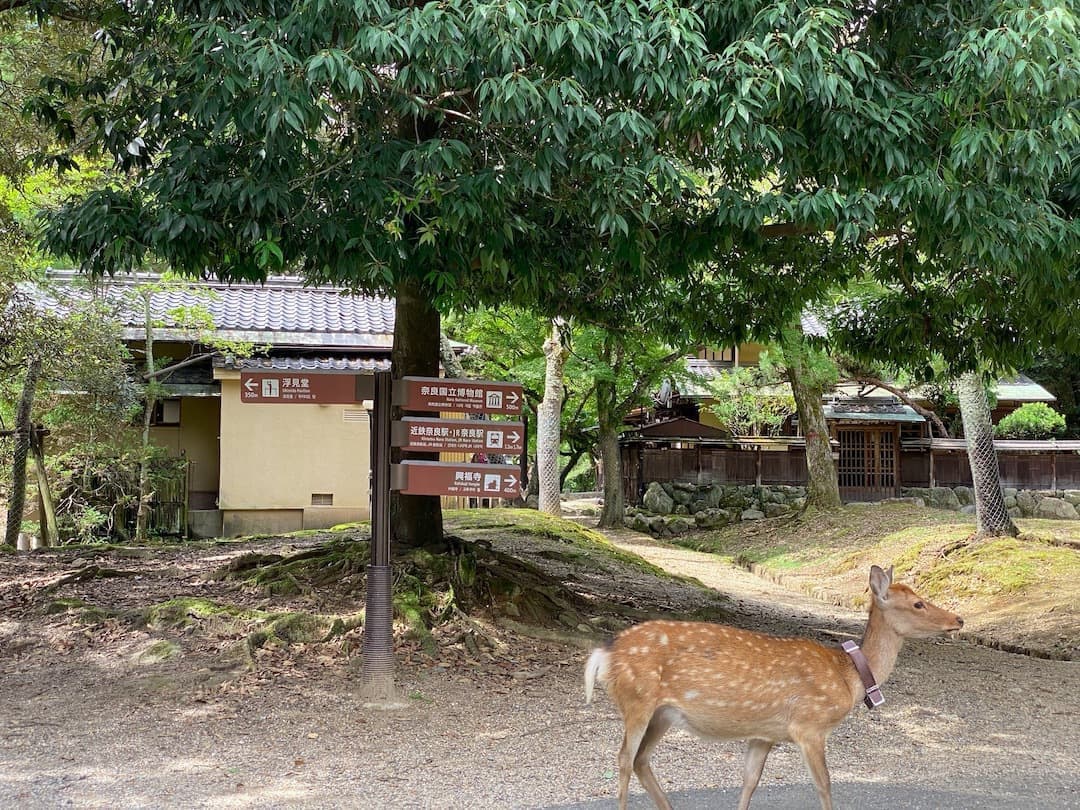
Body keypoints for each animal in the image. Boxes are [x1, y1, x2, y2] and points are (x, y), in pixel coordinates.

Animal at [587, 565, 967, 810]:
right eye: (918, 603)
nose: (959, 619)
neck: (849, 678)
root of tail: (604, 653)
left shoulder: (764, 734)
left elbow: (750, 781)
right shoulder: (808, 725)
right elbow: (824, 784)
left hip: (662, 714)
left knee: (641, 759)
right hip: (637, 699)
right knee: (624, 759)